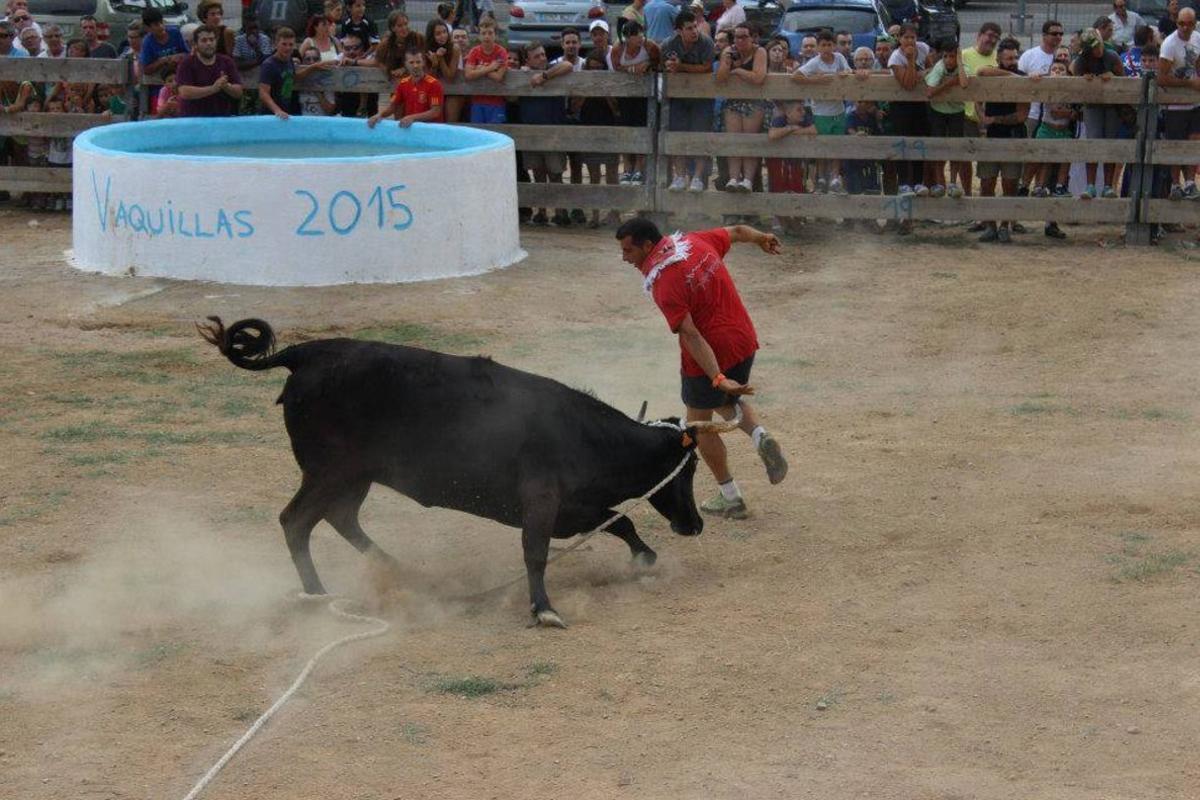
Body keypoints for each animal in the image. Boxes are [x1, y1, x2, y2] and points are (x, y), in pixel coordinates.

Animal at [199, 316, 739, 623]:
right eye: (688, 469)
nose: (694, 524)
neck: (585, 433)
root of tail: (306, 353)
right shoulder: (542, 500)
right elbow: (536, 552)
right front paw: (544, 609)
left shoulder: (573, 507)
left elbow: (618, 521)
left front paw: (645, 556)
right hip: (329, 472)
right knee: (297, 521)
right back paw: (317, 593)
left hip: (354, 476)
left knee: (339, 518)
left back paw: (398, 571)